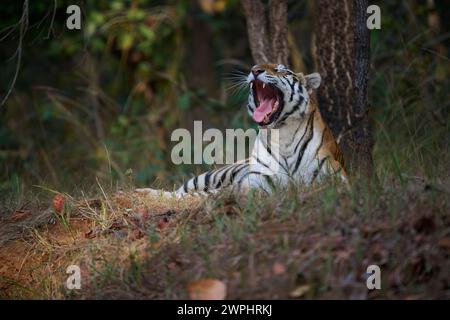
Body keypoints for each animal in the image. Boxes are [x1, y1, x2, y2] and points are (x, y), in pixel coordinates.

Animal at [135, 63, 346, 198]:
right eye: (256, 66)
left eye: (280, 70)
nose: (255, 70)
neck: (282, 134)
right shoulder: (255, 182)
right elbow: (213, 193)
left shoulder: (335, 178)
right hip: (210, 176)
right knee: (179, 190)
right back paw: (142, 192)